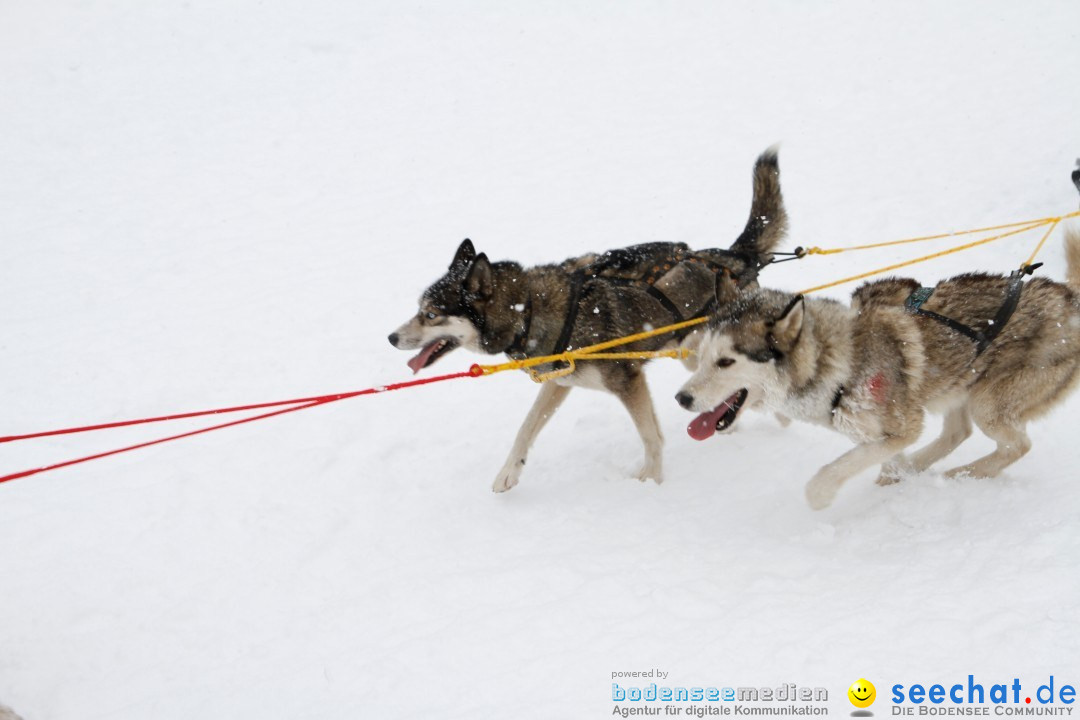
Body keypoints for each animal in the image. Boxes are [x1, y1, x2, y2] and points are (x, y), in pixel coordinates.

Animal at [393, 148, 790, 492]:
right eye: (418, 308)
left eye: (430, 314)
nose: (391, 338)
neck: (529, 310)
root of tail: (733, 258)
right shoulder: (559, 382)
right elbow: (526, 428)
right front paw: (508, 473)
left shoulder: (628, 381)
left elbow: (651, 436)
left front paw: (652, 481)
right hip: (695, 356)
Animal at [673, 227, 1080, 509]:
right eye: (702, 356)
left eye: (726, 361)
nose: (682, 398)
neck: (838, 364)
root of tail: (1069, 299)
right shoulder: (876, 433)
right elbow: (885, 461)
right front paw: (895, 479)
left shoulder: (900, 427)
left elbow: (832, 472)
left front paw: (823, 497)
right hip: (959, 384)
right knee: (958, 432)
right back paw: (923, 468)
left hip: (988, 403)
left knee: (1017, 446)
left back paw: (961, 476)